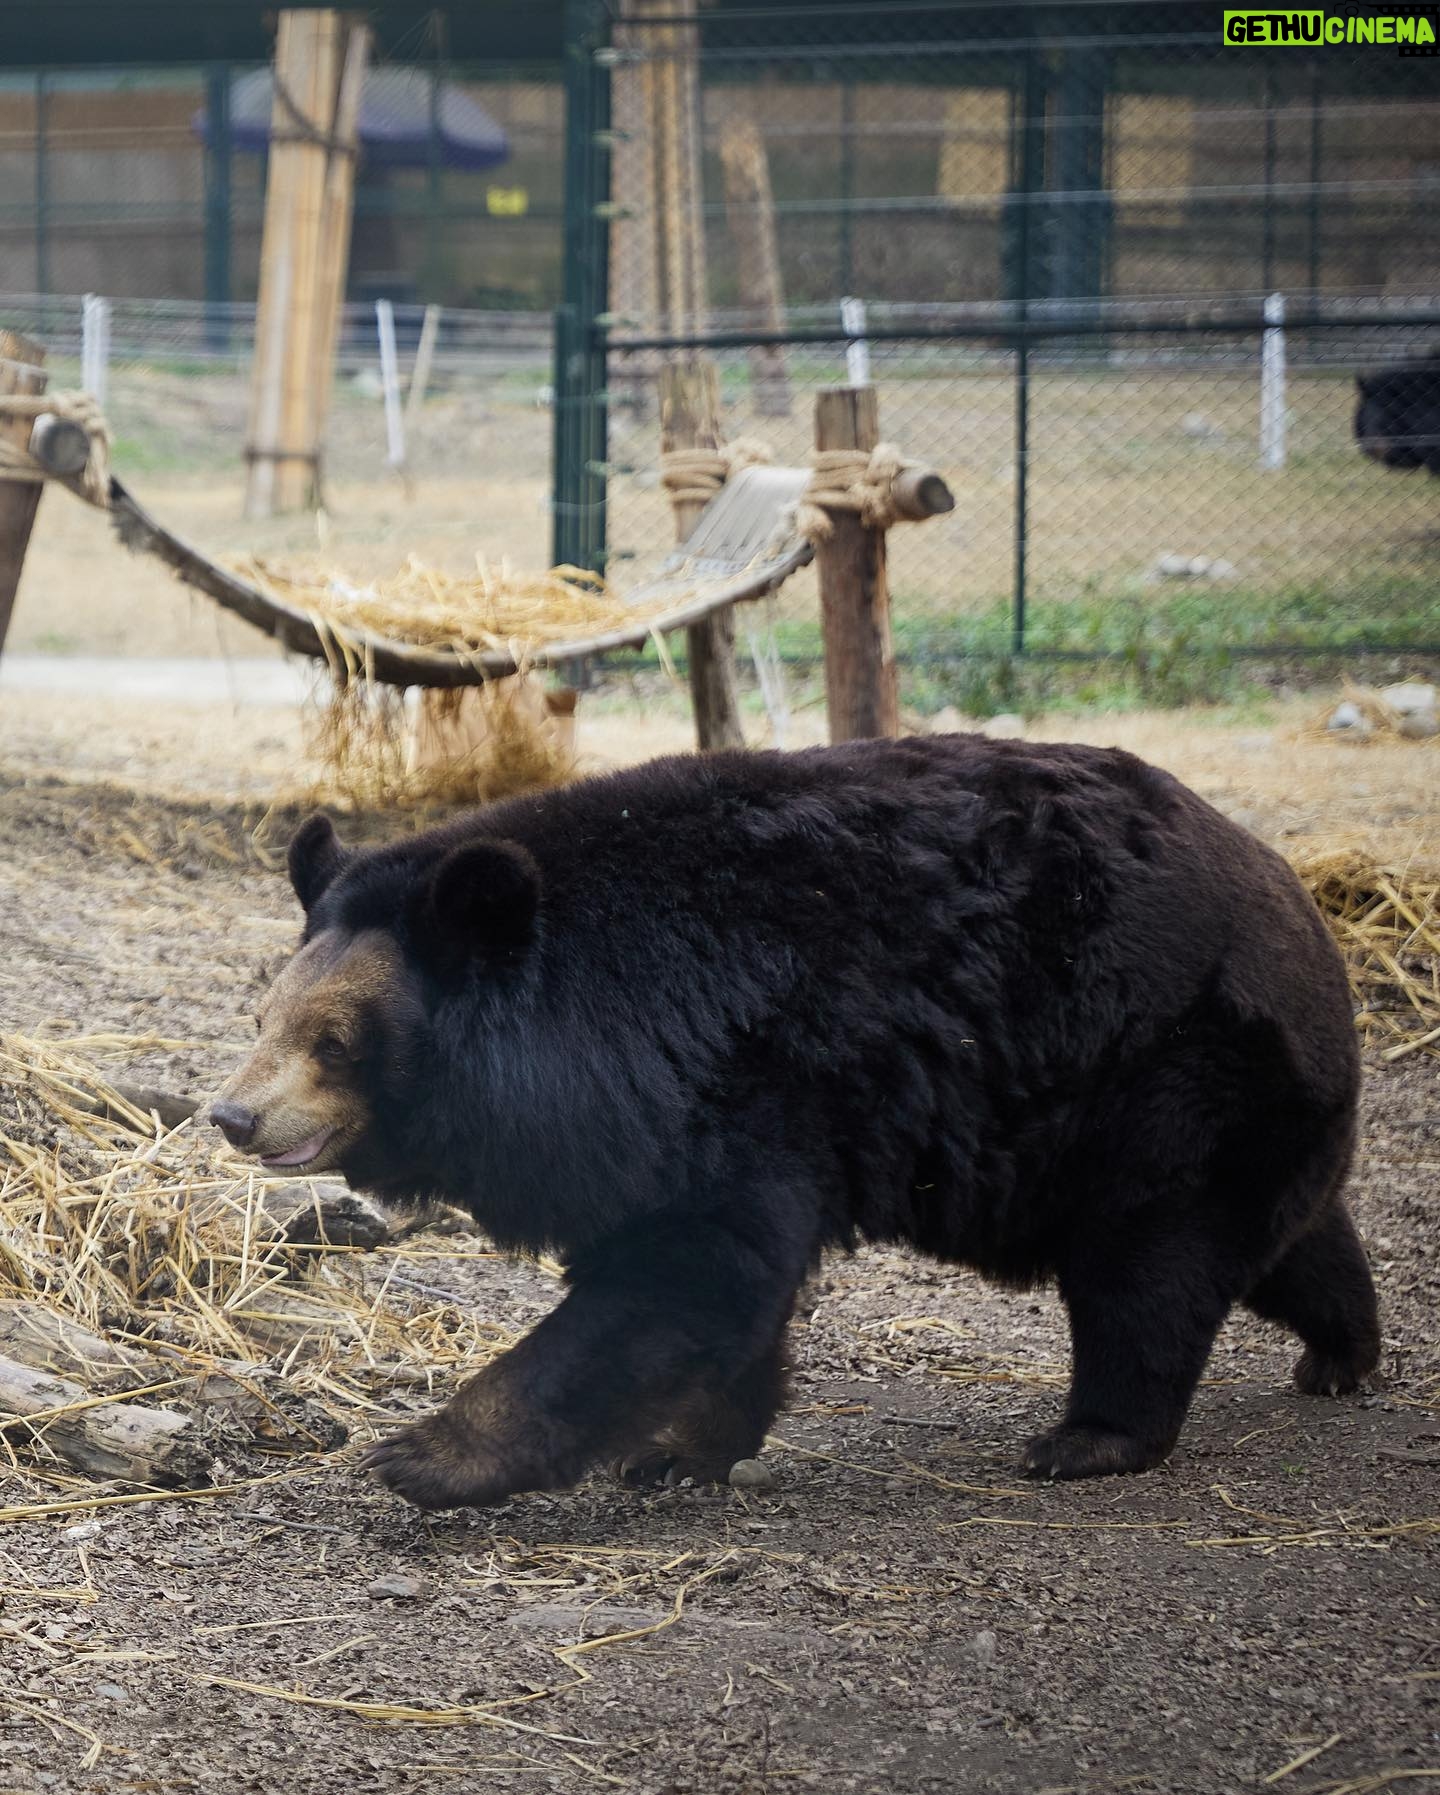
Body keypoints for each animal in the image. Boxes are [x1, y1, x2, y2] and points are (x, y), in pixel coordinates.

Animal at [210, 735, 1380, 1511]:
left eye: (334, 1039)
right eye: (263, 1018)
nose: (232, 1115)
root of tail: (1298, 905)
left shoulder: (738, 1080)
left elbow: (685, 1271)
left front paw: (427, 1454)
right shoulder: (660, 1121)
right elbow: (718, 1287)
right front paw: (680, 1450)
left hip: (1159, 1074)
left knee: (1149, 1267)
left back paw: (1089, 1436)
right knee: (1281, 1234)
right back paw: (1344, 1351)